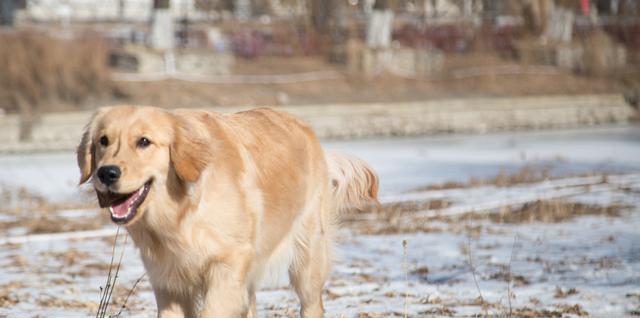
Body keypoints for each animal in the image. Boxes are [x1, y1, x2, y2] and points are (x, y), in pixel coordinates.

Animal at [79, 106, 380, 318]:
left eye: (144, 141)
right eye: (103, 141)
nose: (106, 173)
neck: (181, 213)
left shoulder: (227, 267)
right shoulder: (168, 283)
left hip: (308, 259)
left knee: (312, 303)